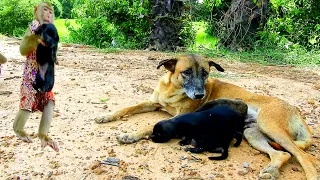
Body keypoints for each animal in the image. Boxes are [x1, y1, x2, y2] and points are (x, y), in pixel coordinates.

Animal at [94, 53, 318, 180]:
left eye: (205, 73)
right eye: (186, 72)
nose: (201, 95)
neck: (172, 90)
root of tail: (295, 110)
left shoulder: (181, 115)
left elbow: (153, 124)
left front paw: (131, 135)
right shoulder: (153, 102)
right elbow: (127, 108)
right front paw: (106, 115)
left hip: (269, 125)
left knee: (303, 155)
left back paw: (310, 174)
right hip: (253, 134)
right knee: (282, 154)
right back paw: (271, 171)